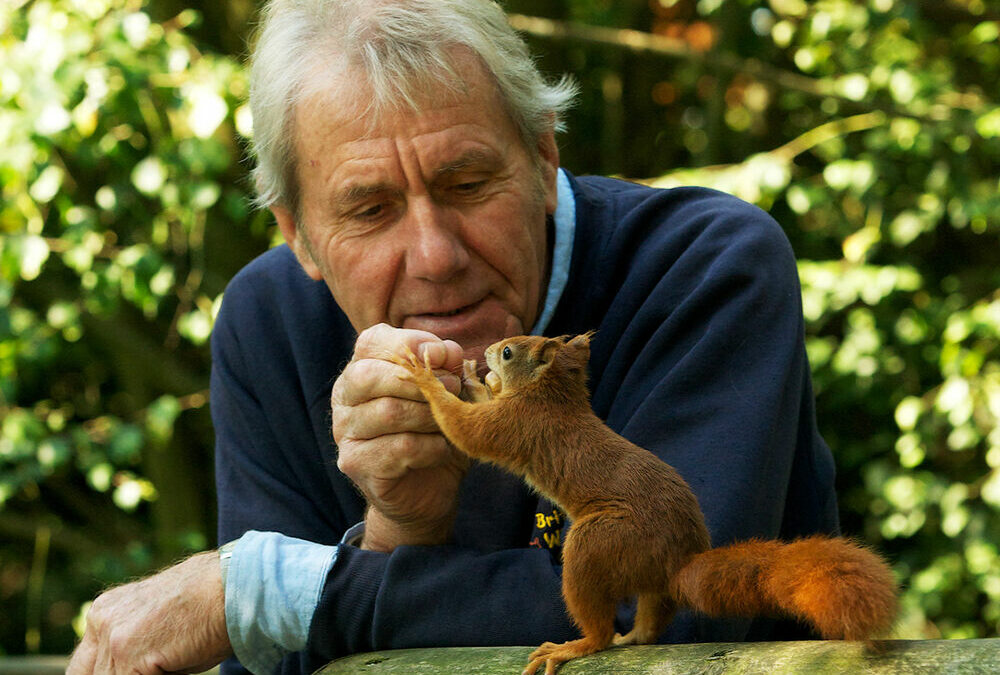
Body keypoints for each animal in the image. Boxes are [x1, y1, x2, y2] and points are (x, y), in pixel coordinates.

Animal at [394, 333, 898, 675]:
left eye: (509, 353)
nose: (487, 351)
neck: (551, 396)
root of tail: (677, 562)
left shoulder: (517, 425)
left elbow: (467, 430)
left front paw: (426, 376)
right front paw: (465, 374)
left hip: (598, 543)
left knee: (595, 626)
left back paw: (577, 646)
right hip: (647, 582)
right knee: (654, 622)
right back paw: (632, 636)